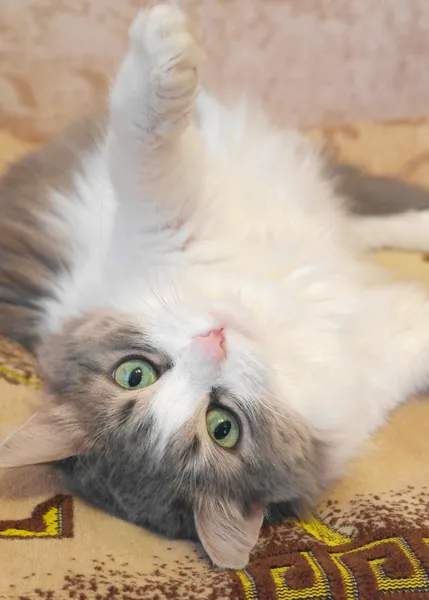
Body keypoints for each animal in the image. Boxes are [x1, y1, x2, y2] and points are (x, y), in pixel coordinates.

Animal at [0, 2, 428, 568]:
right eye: (223, 427)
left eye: (132, 374)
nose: (214, 340)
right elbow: (145, 150)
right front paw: (163, 42)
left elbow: (143, 138)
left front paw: (162, 46)